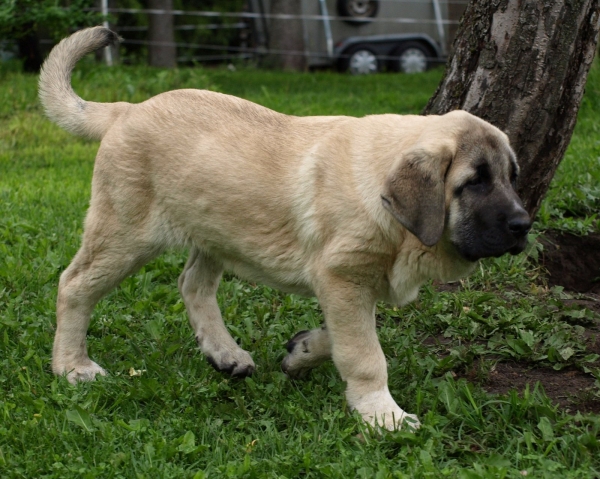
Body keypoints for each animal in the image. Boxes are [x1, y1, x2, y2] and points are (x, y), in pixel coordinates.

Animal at [38, 27, 528, 432]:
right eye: (474, 182)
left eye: (511, 177)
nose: (524, 224)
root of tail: (128, 110)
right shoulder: (343, 277)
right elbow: (366, 353)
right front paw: (382, 414)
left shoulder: (350, 285)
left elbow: (348, 335)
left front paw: (304, 350)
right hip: (124, 232)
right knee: (74, 285)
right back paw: (72, 366)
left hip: (215, 228)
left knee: (192, 284)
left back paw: (225, 353)